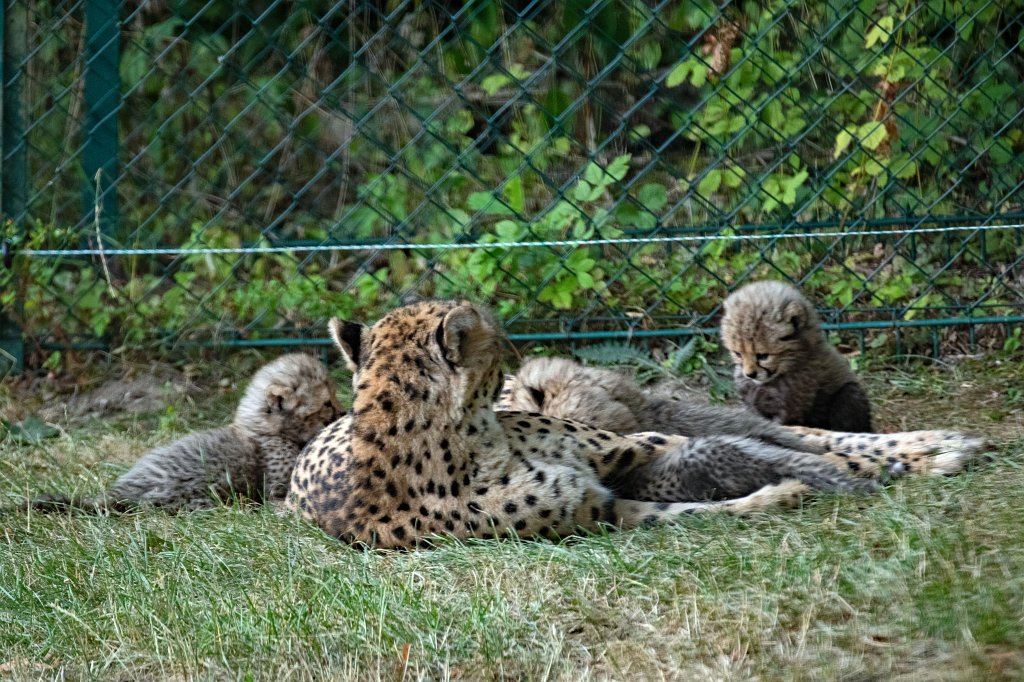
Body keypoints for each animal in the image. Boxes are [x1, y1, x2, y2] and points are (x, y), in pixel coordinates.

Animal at [286, 300, 981, 550]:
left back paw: (935, 445)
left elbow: (794, 440)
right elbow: (697, 508)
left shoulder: (631, 451)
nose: (511, 339)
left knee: (795, 431)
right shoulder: (604, 510)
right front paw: (779, 495)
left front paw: (896, 458)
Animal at [721, 279, 874, 432]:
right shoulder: (750, 406)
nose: (750, 374)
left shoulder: (788, 412)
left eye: (763, 356)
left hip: (849, 393)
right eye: (738, 354)